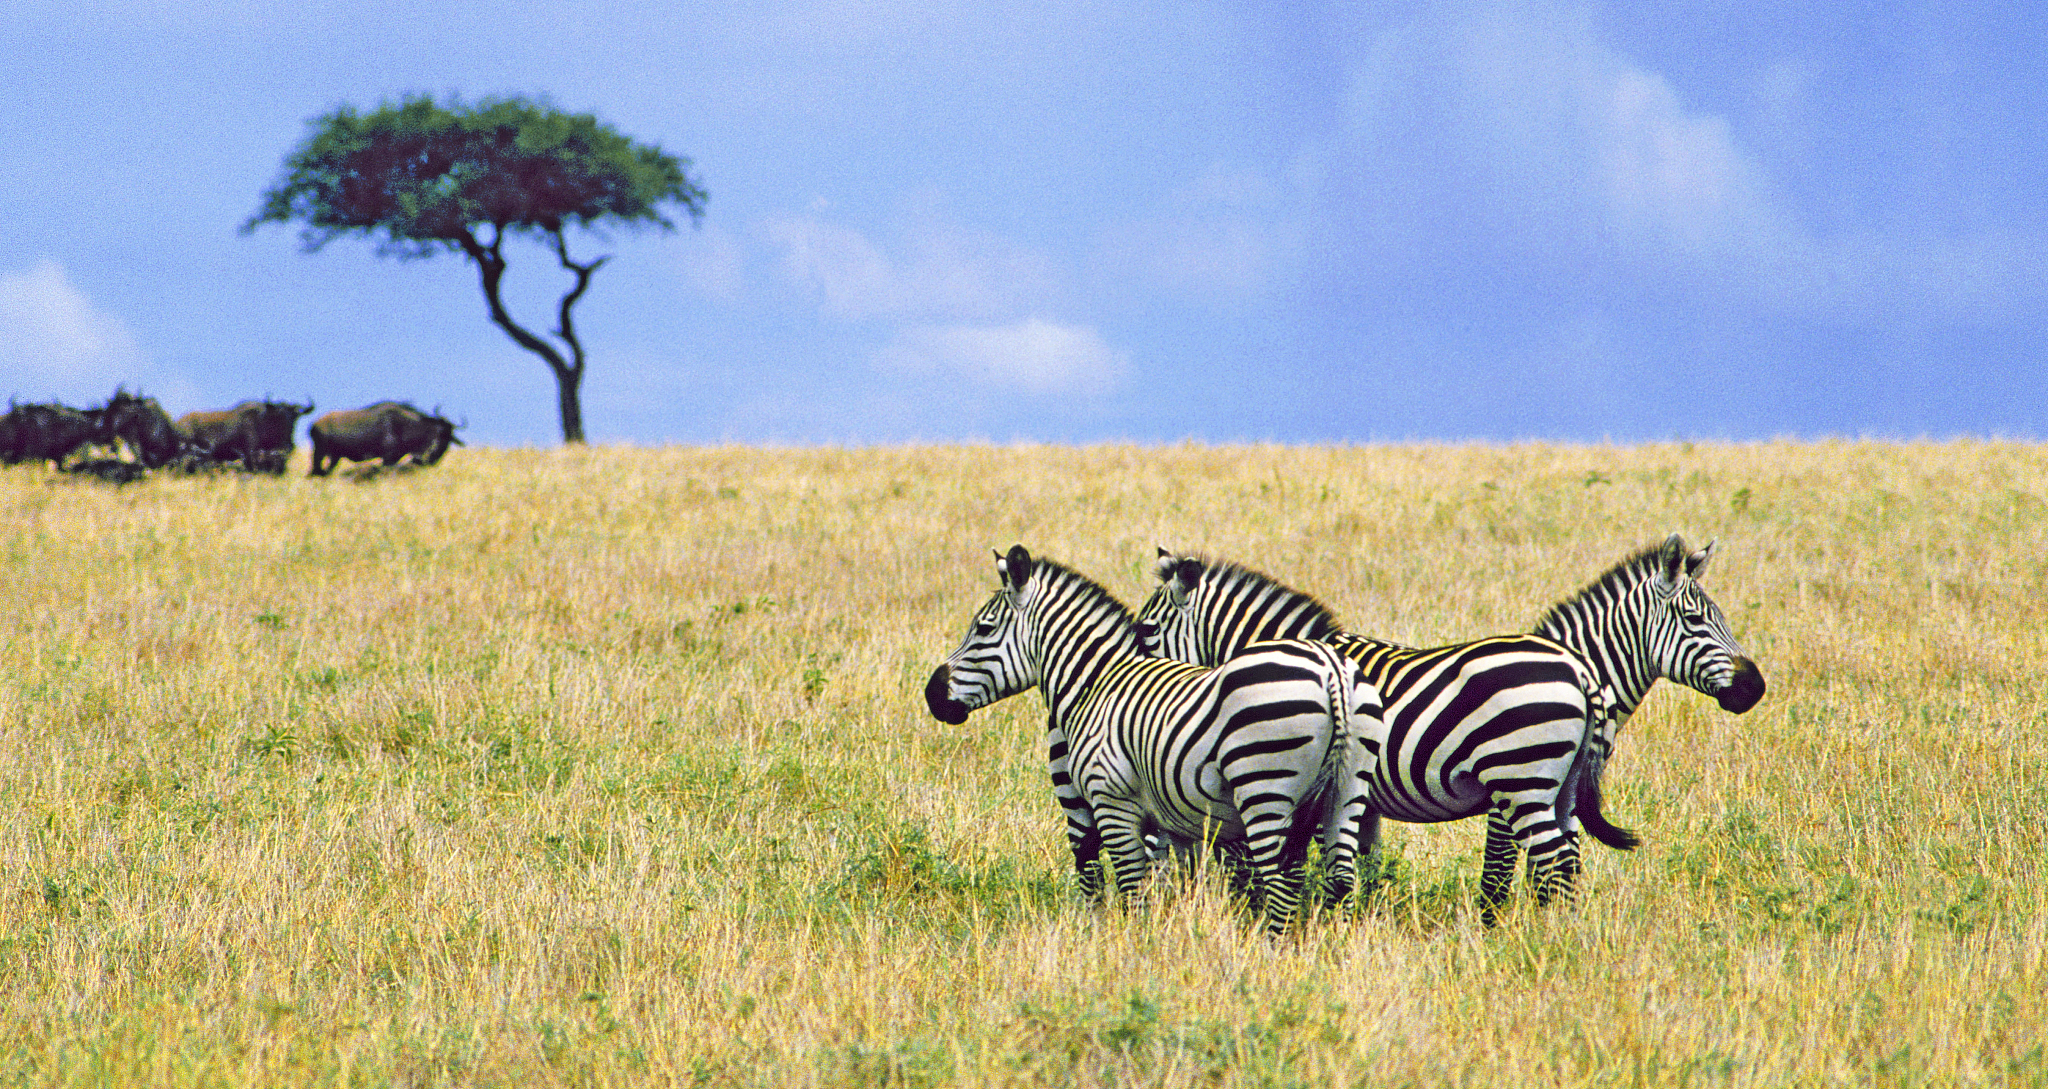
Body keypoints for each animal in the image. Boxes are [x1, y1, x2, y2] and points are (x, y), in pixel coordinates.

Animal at [923, 545, 1384, 934]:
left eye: (983, 629)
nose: (932, 695)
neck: (1097, 682)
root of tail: (1331, 670)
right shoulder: (1172, 821)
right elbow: (1170, 887)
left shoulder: (1113, 803)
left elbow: (1132, 889)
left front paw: (1133, 950)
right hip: (1347, 792)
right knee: (1342, 880)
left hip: (1264, 790)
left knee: (1279, 884)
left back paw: (1272, 953)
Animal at [1135, 533, 1765, 922]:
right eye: (1697, 620)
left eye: (1143, 633)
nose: (1753, 688)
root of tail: (1575, 671)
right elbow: (1370, 865)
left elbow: (1496, 874)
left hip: (1525, 779)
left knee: (1555, 863)